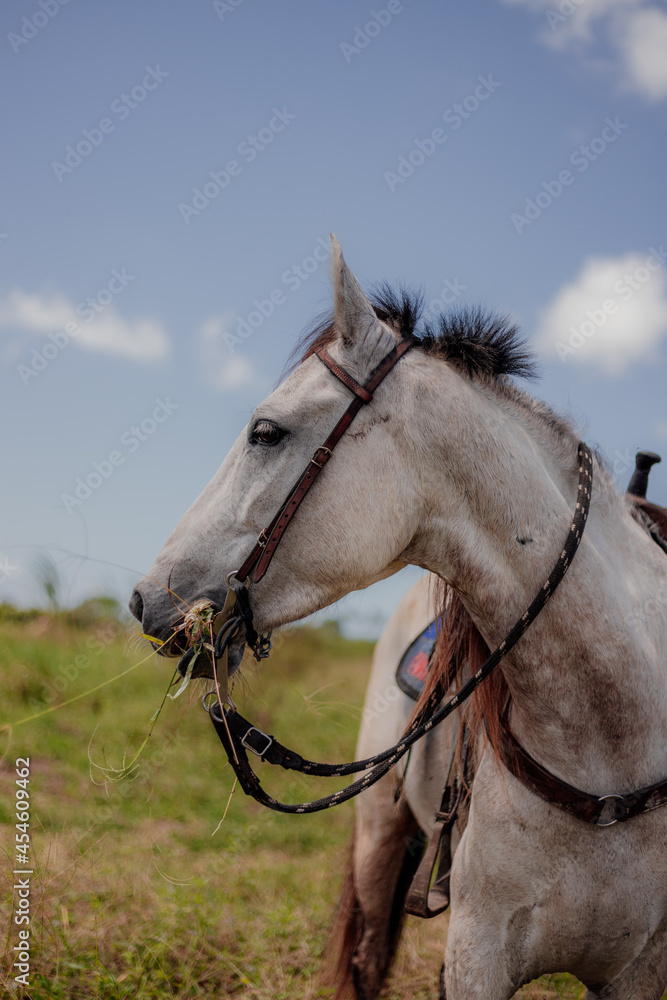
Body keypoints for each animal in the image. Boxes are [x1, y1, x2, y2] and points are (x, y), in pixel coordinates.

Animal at [130, 236, 667, 999]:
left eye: (265, 432)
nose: (148, 598)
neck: (612, 744)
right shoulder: (478, 954)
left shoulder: (637, 970)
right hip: (378, 841)